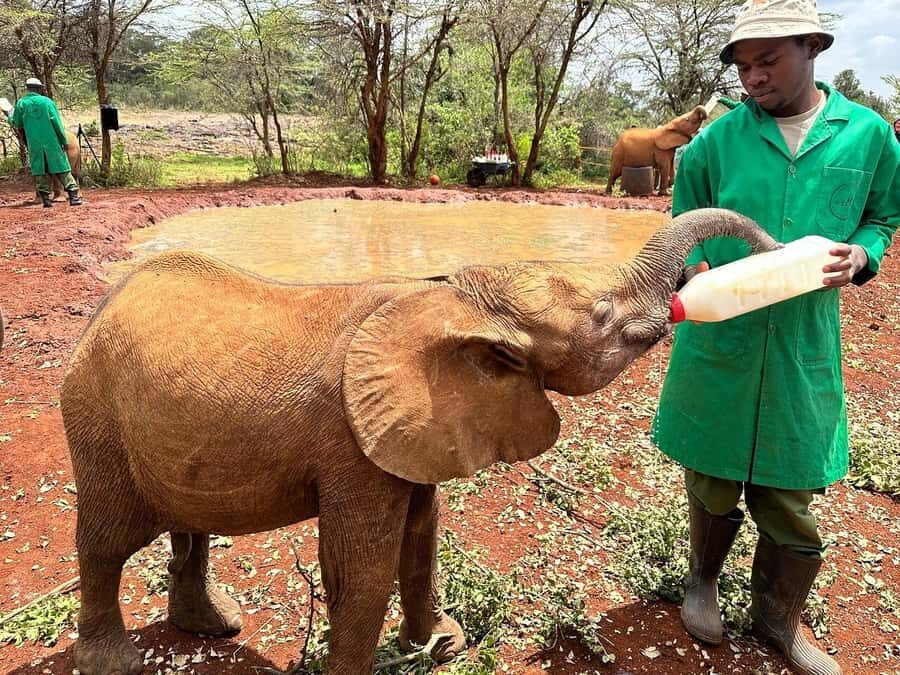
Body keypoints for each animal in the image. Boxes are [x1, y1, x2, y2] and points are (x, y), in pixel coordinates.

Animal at [60, 208, 777, 674]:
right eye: (602, 316)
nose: (771, 245)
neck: (454, 298)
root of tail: (100, 309)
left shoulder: (416, 431)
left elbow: (422, 538)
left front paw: (445, 645)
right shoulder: (352, 447)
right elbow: (362, 570)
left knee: (190, 529)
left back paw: (212, 625)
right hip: (96, 419)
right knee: (106, 539)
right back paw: (114, 660)